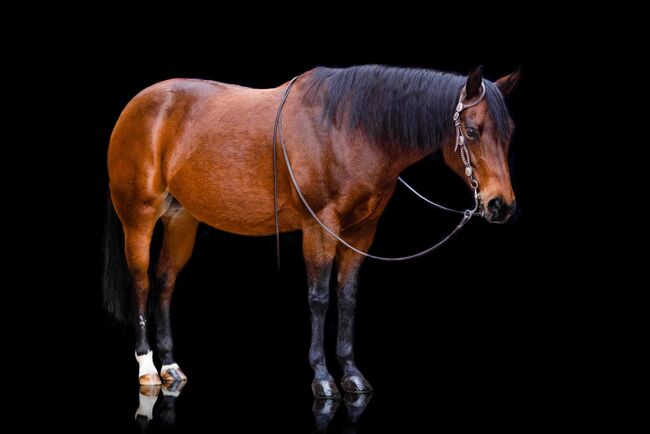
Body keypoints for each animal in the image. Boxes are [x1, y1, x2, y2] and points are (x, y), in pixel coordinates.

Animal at [101, 62, 520, 398]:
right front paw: (322, 378)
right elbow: (318, 298)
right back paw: (148, 369)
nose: (501, 205)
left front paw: (351, 373)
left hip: (180, 220)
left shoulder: (361, 232)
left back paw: (171, 367)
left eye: (510, 132)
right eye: (472, 130)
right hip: (138, 218)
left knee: (164, 283)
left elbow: (347, 297)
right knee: (141, 283)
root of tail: (136, 106)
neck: (346, 130)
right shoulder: (320, 226)